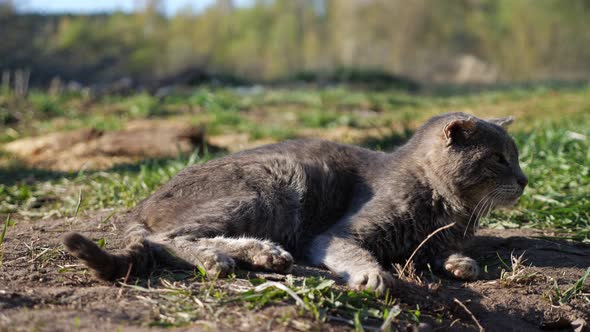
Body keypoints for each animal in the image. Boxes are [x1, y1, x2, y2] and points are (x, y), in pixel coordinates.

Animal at [63, 112, 528, 294]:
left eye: (517, 156)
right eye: (499, 158)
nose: (525, 180)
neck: (450, 208)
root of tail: (141, 204)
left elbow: (440, 251)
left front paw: (460, 262)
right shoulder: (338, 233)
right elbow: (355, 252)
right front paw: (374, 274)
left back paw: (264, 255)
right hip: (274, 182)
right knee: (168, 238)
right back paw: (225, 258)